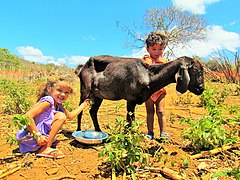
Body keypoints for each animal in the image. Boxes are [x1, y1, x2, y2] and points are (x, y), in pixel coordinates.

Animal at [75, 54, 204, 131]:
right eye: (195, 70)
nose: (201, 88)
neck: (148, 74)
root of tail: (82, 67)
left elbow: (132, 120)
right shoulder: (130, 100)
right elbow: (129, 121)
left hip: (98, 96)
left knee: (93, 111)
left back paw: (99, 131)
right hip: (85, 90)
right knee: (79, 110)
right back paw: (78, 130)